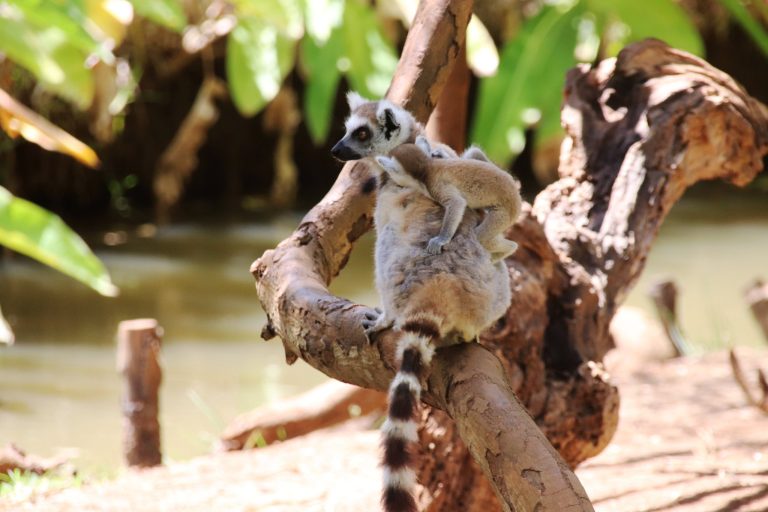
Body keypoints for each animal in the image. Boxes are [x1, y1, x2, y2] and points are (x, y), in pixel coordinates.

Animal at [375, 138, 521, 262]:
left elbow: (456, 203)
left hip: (506, 213)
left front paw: (441, 239)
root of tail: (515, 192)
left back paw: (510, 248)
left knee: (480, 237)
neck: (426, 168)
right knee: (474, 152)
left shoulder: (436, 185)